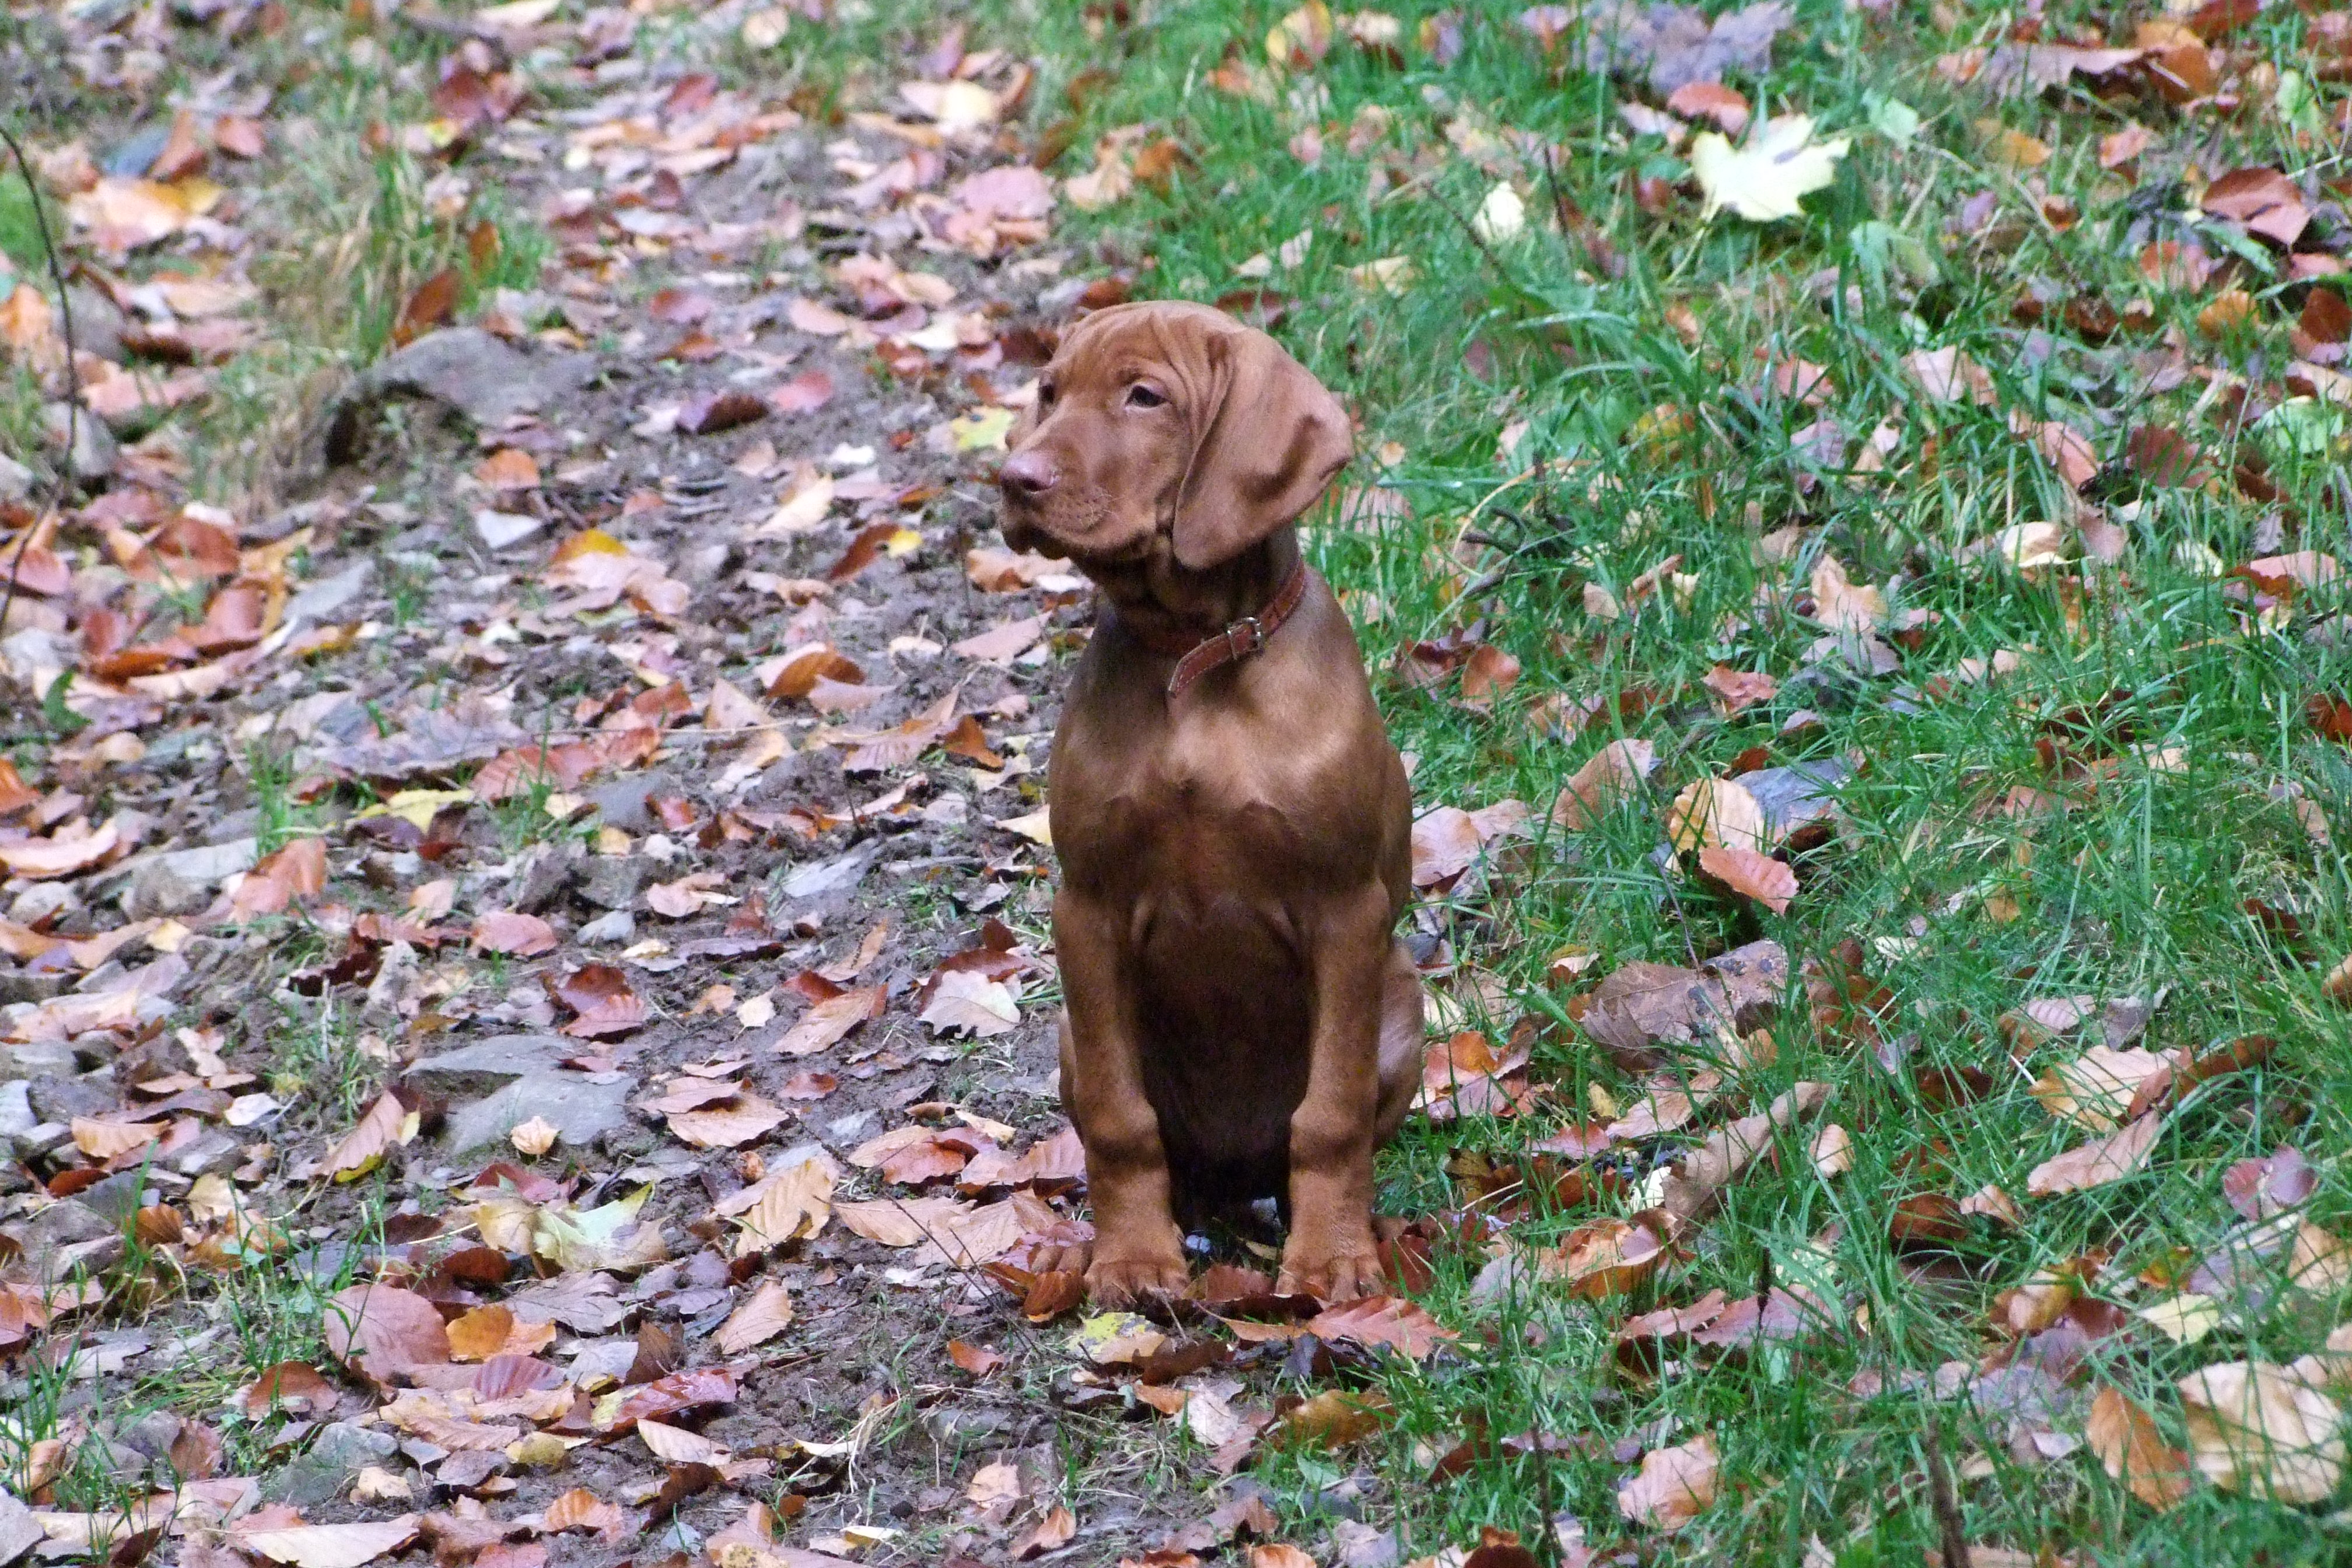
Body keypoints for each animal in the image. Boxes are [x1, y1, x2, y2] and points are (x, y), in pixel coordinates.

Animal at [992, 300, 1411, 1307]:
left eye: (1145, 397)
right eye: (1049, 393)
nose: (1014, 479)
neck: (1193, 656)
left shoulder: (1347, 911)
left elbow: (1330, 1115)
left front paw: (1330, 1258)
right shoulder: (1088, 910)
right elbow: (1120, 1120)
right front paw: (1132, 1259)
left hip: (1403, 1004)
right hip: (1072, 1038)